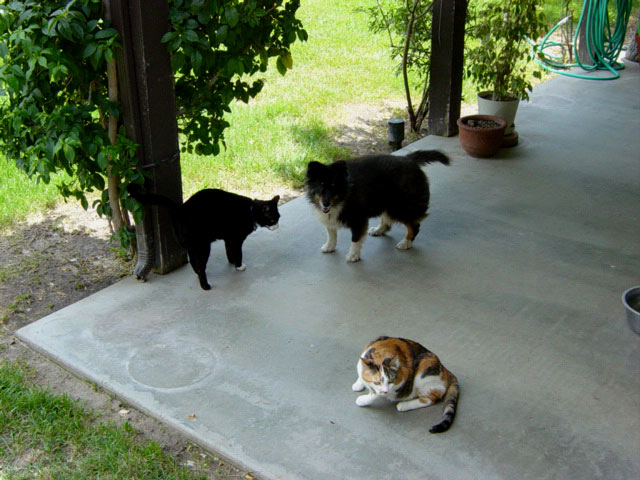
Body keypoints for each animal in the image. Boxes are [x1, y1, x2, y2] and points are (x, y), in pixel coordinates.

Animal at [128, 183, 280, 288]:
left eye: (279, 217)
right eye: (273, 219)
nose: (278, 226)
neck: (250, 211)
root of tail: (180, 209)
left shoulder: (229, 238)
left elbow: (229, 250)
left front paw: (231, 262)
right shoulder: (236, 239)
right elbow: (238, 253)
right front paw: (239, 266)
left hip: (191, 244)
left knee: (193, 261)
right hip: (203, 246)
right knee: (201, 266)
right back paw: (205, 286)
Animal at [306, 150, 450, 262]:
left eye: (333, 186)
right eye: (321, 184)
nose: (326, 203)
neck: (343, 196)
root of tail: (409, 159)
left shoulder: (358, 219)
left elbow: (355, 239)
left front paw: (353, 256)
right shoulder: (329, 218)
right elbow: (331, 234)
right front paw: (329, 247)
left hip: (399, 207)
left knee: (414, 225)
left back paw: (406, 243)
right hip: (386, 203)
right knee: (388, 220)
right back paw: (378, 230)